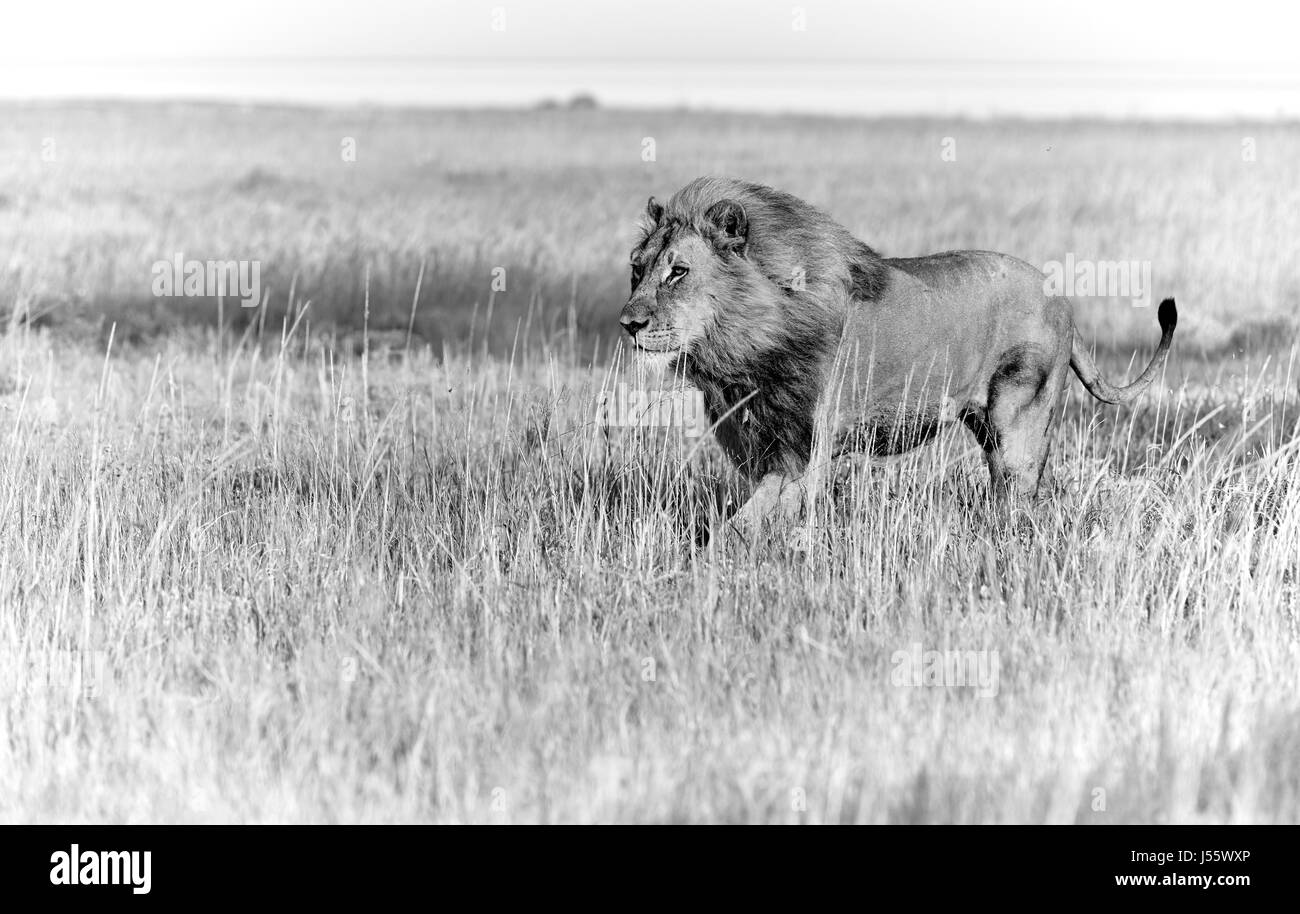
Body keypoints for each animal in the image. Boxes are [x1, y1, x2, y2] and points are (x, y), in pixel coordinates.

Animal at [618, 175, 1180, 540]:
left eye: (678, 272)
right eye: (637, 269)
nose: (628, 323)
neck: (744, 345)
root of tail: (1061, 300)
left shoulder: (806, 447)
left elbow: (748, 522)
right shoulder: (758, 442)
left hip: (1018, 421)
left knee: (1022, 497)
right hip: (986, 427)